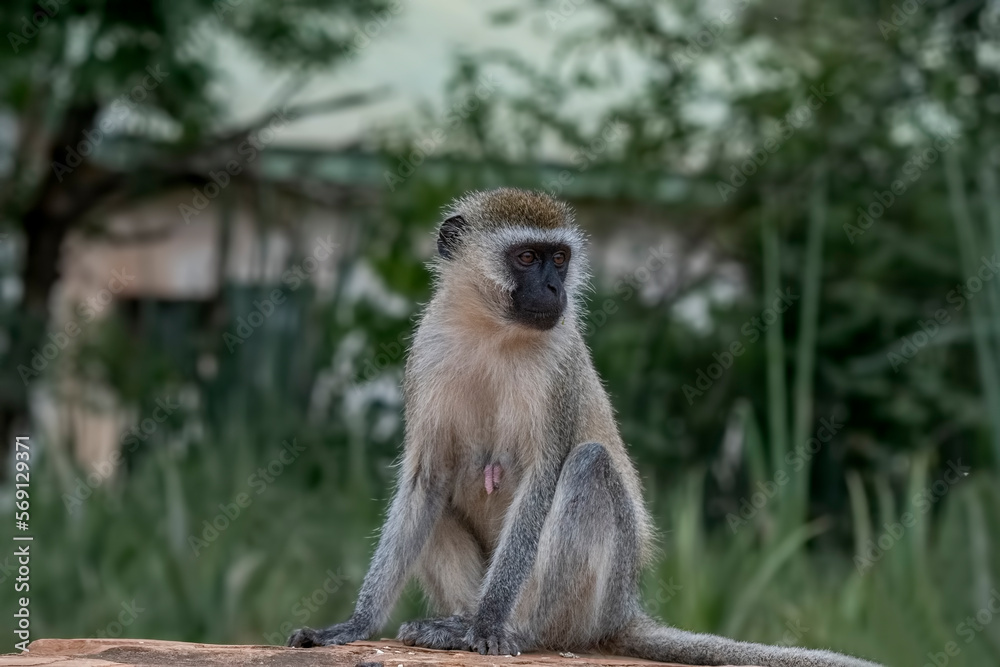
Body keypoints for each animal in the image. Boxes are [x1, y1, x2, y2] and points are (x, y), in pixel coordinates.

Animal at [286, 188, 880, 667]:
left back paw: (508, 628)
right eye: (527, 257)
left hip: (591, 602)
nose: (554, 289)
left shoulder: (558, 370)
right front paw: (354, 625)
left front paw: (487, 625)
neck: (491, 331)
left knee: (588, 467)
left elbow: (542, 477)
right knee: (443, 498)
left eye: (560, 258)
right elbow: (426, 481)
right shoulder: (426, 355)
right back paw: (455, 621)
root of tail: (623, 611)